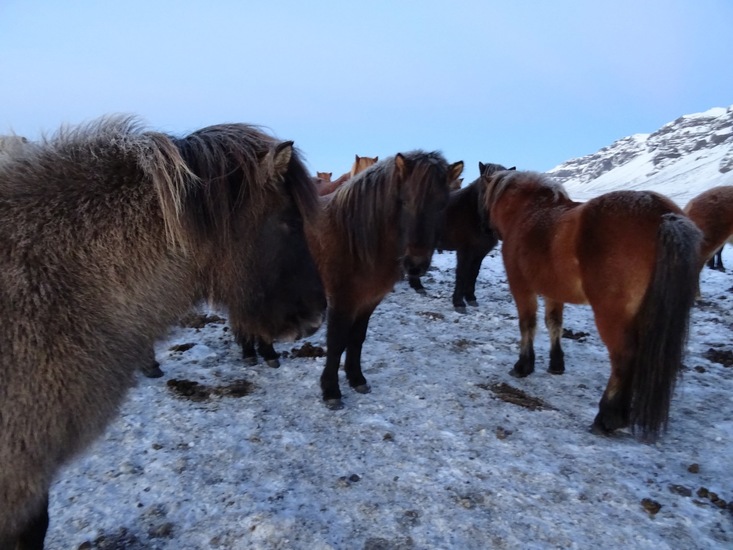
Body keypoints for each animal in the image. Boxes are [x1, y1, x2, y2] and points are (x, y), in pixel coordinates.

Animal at [309, 151, 463, 409]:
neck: (355, 238)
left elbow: (357, 338)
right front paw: (331, 391)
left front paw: (357, 379)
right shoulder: (341, 301)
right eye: (404, 201)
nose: (415, 264)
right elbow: (337, 341)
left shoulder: (369, 300)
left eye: (442, 205)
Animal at [408, 162, 514, 312]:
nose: (487, 227)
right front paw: (459, 303)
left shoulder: (479, 253)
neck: (473, 213)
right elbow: (462, 274)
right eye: (483, 188)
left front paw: (471, 298)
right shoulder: (465, 251)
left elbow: (473, 274)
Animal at [484, 170, 701, 441]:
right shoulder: (554, 291)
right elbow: (554, 324)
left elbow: (528, 324)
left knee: (623, 358)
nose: (488, 229)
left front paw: (523, 365)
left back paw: (607, 418)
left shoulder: (522, 287)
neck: (528, 212)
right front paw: (556, 364)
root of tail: (662, 215)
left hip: (611, 316)